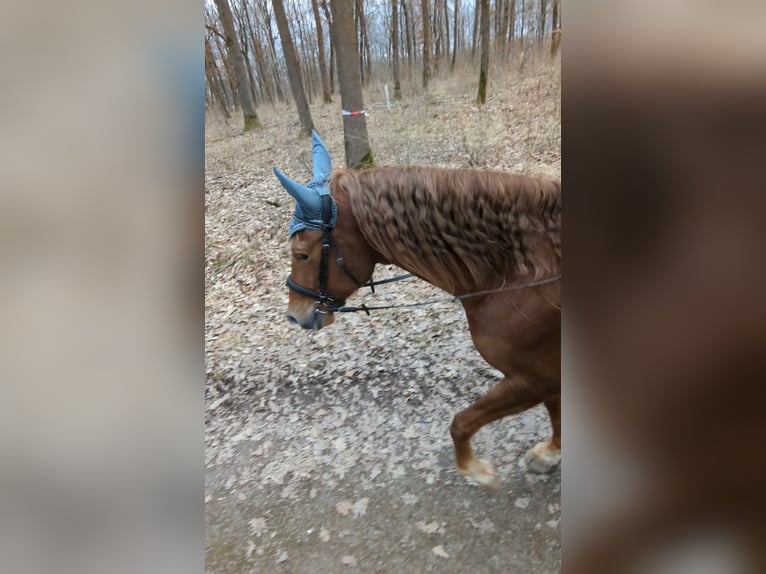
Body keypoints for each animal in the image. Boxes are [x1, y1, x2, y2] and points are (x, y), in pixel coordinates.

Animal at [276, 133, 564, 488]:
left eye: (301, 254)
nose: (295, 314)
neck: (520, 271)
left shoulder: (533, 377)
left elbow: (460, 424)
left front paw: (476, 470)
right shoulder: (545, 373)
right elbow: (555, 411)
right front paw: (550, 453)